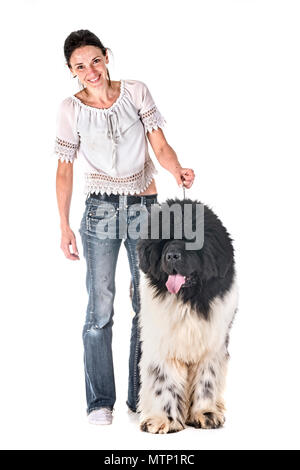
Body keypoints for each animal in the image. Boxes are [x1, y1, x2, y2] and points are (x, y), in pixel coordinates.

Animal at [136, 197, 239, 434]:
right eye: (164, 239)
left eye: (192, 238)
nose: (172, 255)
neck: (188, 300)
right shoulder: (162, 345)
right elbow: (164, 383)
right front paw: (163, 420)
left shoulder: (212, 346)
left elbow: (207, 381)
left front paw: (206, 413)